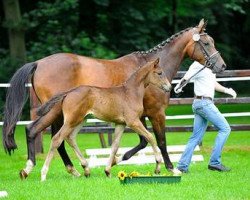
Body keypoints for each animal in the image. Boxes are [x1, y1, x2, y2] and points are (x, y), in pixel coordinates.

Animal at [27, 58, 172, 181]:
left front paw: (107, 170)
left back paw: (86, 169)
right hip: (71, 120)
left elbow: (115, 146)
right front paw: (158, 166)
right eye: (159, 73)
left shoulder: (120, 124)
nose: (169, 87)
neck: (130, 92)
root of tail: (69, 92)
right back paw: (43, 174)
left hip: (80, 120)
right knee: (57, 139)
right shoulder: (133, 121)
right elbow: (150, 137)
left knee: (70, 137)